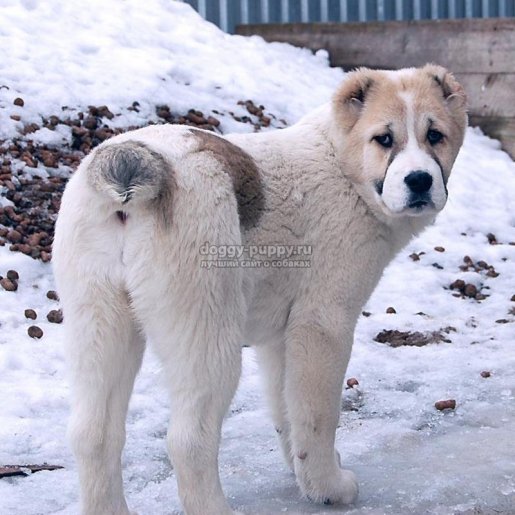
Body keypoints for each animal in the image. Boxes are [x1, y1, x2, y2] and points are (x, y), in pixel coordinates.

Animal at [52, 65, 468, 515]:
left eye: (435, 135)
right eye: (384, 139)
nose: (419, 180)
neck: (341, 164)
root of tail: (138, 163)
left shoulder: (278, 338)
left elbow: (287, 409)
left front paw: (304, 476)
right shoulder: (322, 324)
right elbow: (317, 415)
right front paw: (329, 486)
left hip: (99, 321)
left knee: (91, 434)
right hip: (206, 332)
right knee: (189, 440)